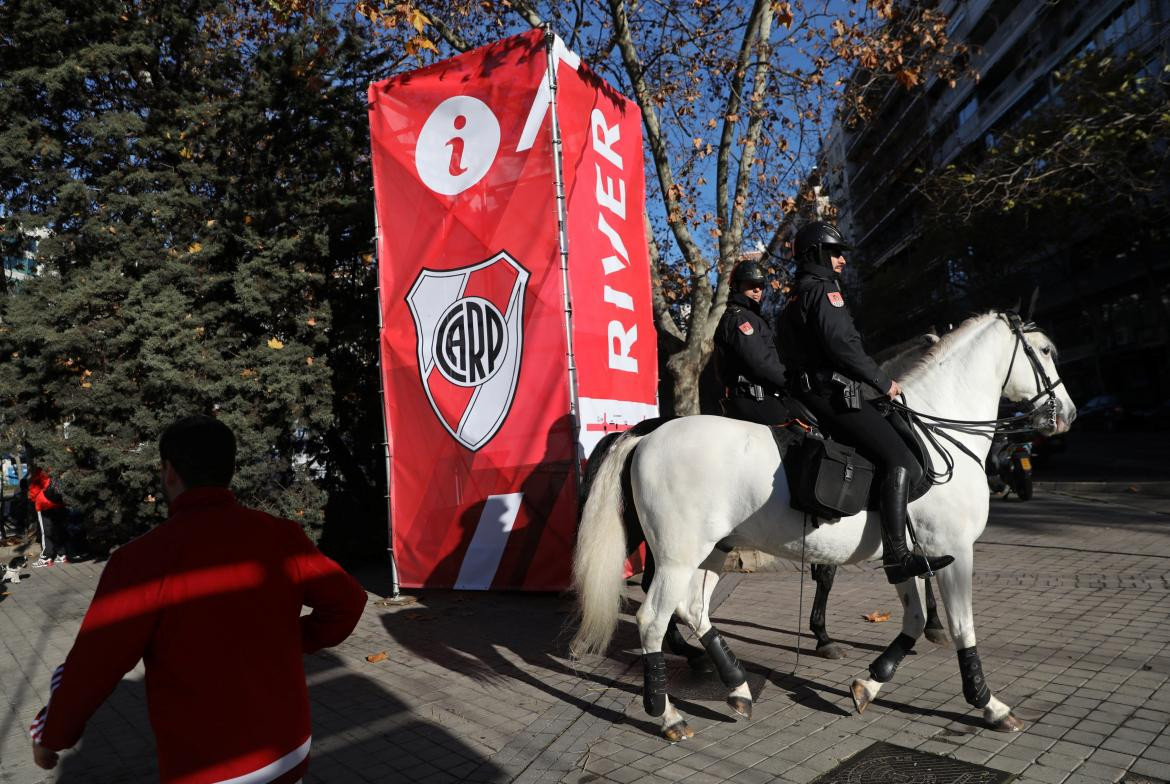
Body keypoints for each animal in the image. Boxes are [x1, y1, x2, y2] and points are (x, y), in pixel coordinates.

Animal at [570, 313, 1071, 744]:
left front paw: (870, 683)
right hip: (677, 555)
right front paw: (989, 705)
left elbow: (914, 618)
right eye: (1046, 350)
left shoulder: (906, 554)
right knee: (653, 619)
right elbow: (963, 627)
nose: (1067, 413)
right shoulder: (954, 551)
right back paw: (669, 714)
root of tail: (648, 434)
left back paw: (737, 686)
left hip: (710, 550)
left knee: (693, 608)